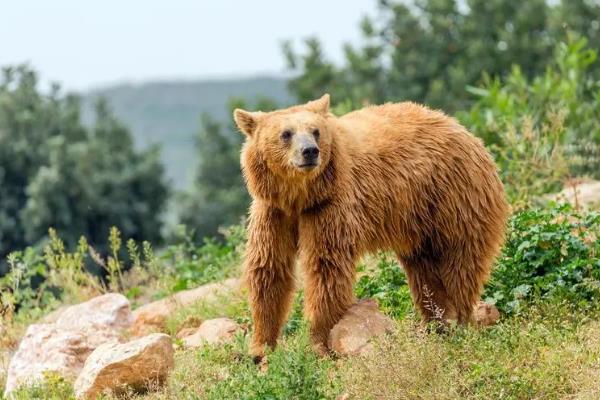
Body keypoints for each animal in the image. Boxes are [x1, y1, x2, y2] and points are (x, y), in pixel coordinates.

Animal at [232, 94, 508, 356]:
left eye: (315, 131)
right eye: (286, 133)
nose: (309, 151)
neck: (299, 196)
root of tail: (465, 130)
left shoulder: (329, 207)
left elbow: (325, 268)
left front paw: (317, 342)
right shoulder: (273, 212)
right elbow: (269, 269)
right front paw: (260, 347)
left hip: (455, 197)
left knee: (459, 262)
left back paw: (458, 321)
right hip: (419, 224)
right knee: (424, 271)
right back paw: (435, 323)